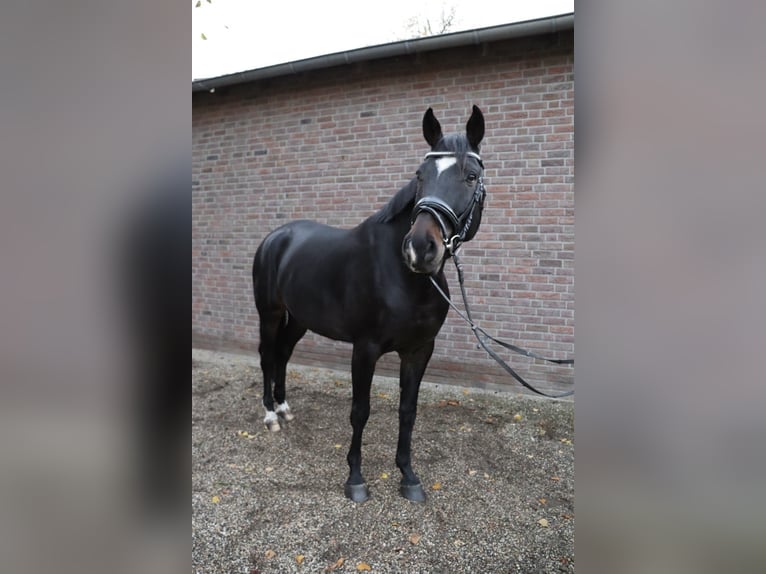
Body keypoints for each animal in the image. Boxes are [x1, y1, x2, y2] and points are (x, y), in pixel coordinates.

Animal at [251, 105, 487, 502]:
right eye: (420, 176)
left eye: (471, 176)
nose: (420, 248)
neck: (403, 276)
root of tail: (275, 237)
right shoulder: (365, 349)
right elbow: (360, 411)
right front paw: (355, 479)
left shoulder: (420, 350)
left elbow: (408, 410)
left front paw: (408, 476)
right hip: (269, 314)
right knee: (269, 355)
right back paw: (270, 416)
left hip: (299, 319)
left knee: (282, 353)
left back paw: (284, 410)